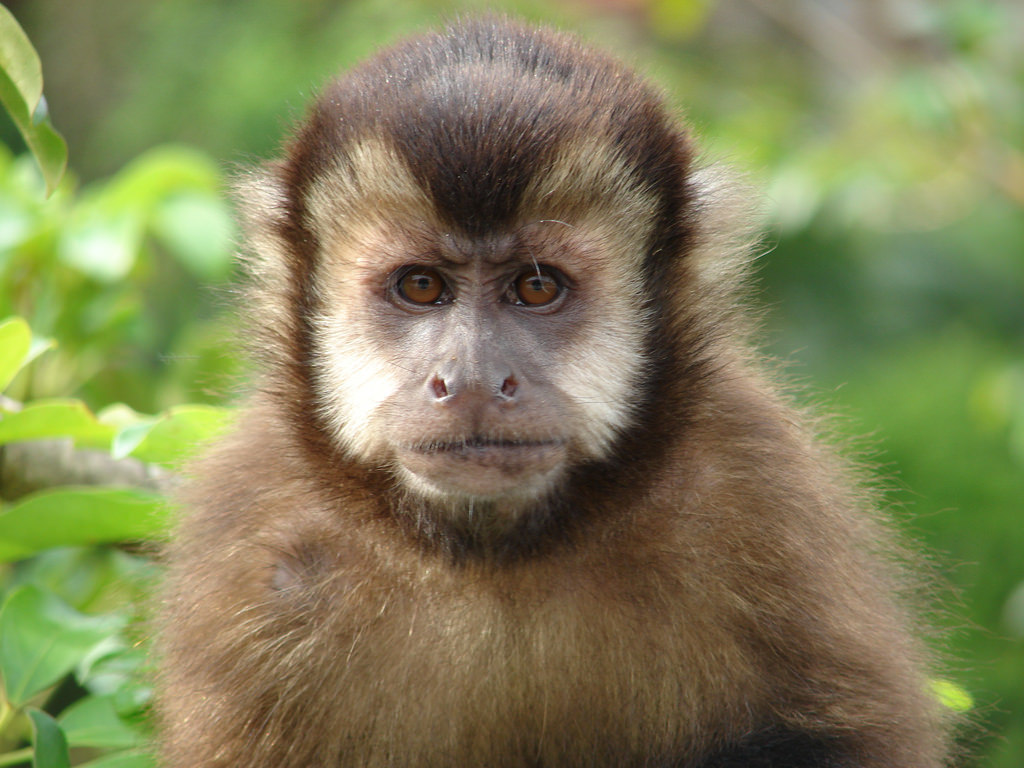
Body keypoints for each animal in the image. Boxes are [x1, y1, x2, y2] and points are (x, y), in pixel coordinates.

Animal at [155, 18, 954, 768]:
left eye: (537, 287)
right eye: (421, 286)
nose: (474, 379)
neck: (497, 558)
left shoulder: (763, 498)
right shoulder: (254, 549)